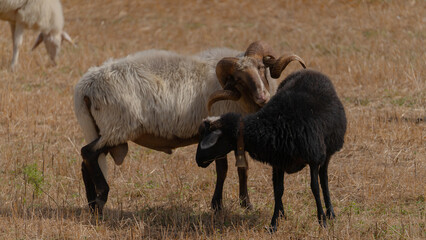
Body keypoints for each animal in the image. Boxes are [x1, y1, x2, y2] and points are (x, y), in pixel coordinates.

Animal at [74, 41, 306, 214]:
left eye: (260, 68)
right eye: (238, 78)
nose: (263, 97)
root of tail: (85, 86)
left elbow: (243, 168)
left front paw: (246, 204)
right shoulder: (219, 131)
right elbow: (223, 170)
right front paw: (217, 206)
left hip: (103, 130)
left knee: (86, 162)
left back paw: (92, 204)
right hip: (117, 129)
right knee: (88, 153)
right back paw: (101, 198)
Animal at [195, 68, 348, 232]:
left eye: (215, 138)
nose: (198, 160)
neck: (274, 124)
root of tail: (310, 71)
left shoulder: (313, 158)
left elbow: (315, 187)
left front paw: (322, 221)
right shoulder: (278, 161)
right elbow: (278, 189)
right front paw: (275, 222)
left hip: (327, 152)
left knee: (324, 178)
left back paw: (330, 212)